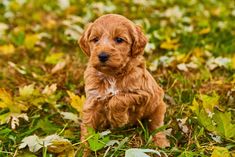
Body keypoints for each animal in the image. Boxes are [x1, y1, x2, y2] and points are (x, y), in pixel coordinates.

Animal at [79, 14, 169, 150]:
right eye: (95, 39)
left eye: (119, 39)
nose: (102, 55)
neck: (111, 75)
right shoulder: (93, 99)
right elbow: (87, 125)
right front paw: (82, 148)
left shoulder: (144, 93)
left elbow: (118, 99)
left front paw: (119, 119)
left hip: (158, 107)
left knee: (157, 126)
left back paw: (161, 143)